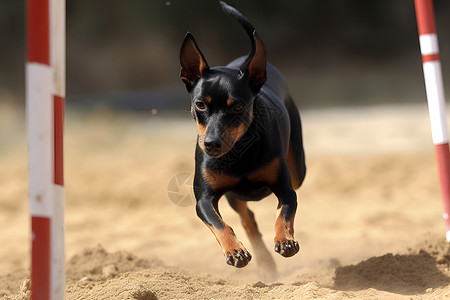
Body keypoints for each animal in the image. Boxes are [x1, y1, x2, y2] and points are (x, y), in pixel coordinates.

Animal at [179, 1, 306, 276]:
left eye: (237, 106)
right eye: (200, 104)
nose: (211, 143)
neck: (239, 153)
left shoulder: (286, 189)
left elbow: (284, 212)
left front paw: (285, 240)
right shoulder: (204, 199)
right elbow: (220, 225)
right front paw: (235, 251)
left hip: (298, 169)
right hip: (232, 195)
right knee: (247, 219)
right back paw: (263, 262)